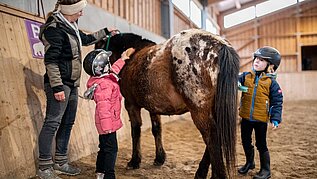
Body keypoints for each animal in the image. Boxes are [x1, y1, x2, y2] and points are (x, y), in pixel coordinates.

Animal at [95, 28, 238, 178]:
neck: (133, 56)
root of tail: (220, 45)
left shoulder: (131, 104)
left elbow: (136, 131)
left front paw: (135, 161)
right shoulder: (153, 107)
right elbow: (157, 129)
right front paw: (159, 158)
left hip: (199, 110)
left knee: (211, 137)